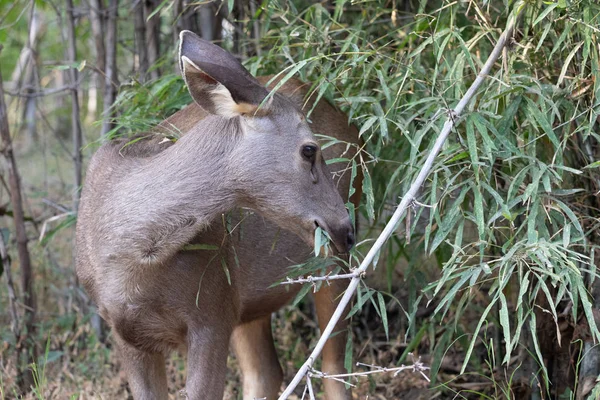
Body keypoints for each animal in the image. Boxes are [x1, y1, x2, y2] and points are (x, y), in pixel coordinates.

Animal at [74, 31, 356, 400]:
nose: (345, 229)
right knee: (265, 371)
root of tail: (352, 125)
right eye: (310, 149)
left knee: (334, 366)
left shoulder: (210, 311)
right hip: (247, 302)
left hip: (326, 270)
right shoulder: (124, 331)